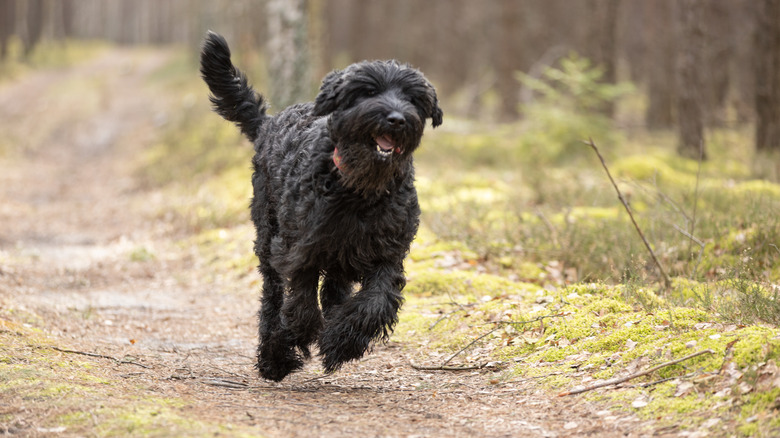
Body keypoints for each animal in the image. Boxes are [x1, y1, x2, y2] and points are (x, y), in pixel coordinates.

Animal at [198, 32, 442, 380]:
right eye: (368, 91)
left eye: (412, 98)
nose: (396, 119)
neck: (359, 191)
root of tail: (269, 123)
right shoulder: (300, 247)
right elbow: (300, 301)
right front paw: (296, 337)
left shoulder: (387, 253)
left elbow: (375, 302)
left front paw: (341, 342)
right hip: (268, 236)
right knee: (273, 296)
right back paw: (273, 356)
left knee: (333, 291)